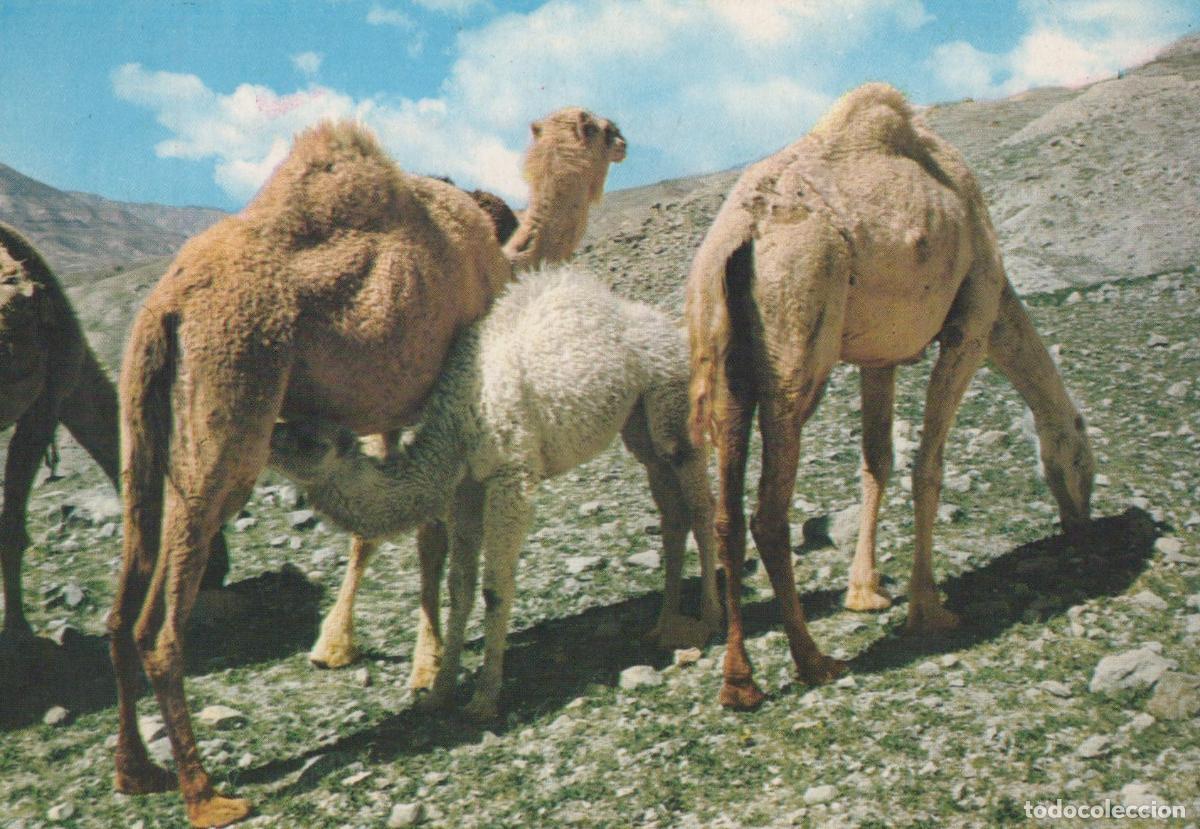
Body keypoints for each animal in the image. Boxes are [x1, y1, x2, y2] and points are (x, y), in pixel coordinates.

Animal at [108, 121, 512, 827]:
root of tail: (167, 304)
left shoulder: (397, 412)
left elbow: (405, 532)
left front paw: (409, 662)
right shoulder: (447, 392)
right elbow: (433, 535)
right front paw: (431, 669)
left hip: (141, 426)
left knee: (123, 597)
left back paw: (137, 773)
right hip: (231, 412)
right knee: (159, 625)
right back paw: (208, 797)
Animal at [269, 265, 722, 721]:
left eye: (311, 441)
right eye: (291, 425)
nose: (269, 437)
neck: (453, 432)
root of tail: (669, 328)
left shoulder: (510, 477)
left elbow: (494, 588)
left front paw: (485, 698)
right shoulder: (465, 490)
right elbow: (459, 589)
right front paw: (440, 691)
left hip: (674, 401)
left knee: (700, 504)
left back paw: (707, 619)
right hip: (638, 423)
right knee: (671, 510)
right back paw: (664, 625)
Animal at [685, 83, 1094, 710]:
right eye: (1085, 461)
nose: (1083, 523)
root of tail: (741, 236)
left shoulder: (878, 357)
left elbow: (877, 459)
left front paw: (866, 591)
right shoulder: (971, 324)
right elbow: (928, 465)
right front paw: (930, 609)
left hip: (723, 357)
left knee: (728, 514)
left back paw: (740, 683)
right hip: (798, 338)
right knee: (769, 513)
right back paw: (814, 661)